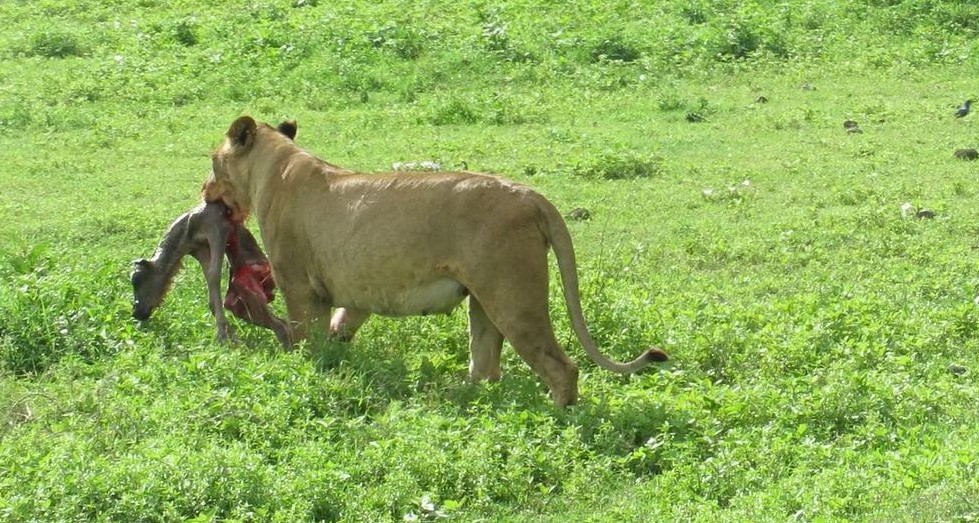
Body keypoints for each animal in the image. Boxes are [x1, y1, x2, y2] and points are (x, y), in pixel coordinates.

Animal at [129, 201, 290, 348]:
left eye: (137, 279)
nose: (136, 312)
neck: (186, 232)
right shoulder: (200, 250)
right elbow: (210, 282)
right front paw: (230, 336)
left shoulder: (218, 229)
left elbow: (214, 274)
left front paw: (222, 335)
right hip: (240, 302)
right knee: (280, 322)